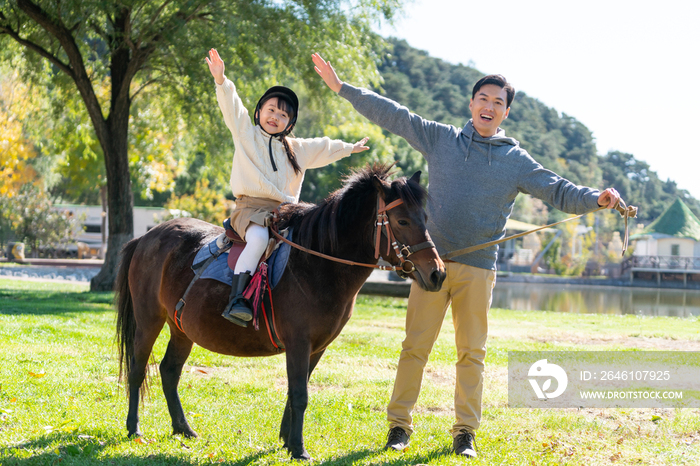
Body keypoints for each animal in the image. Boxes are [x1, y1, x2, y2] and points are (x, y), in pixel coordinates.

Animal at [114, 164, 442, 458]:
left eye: (425, 218)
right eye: (402, 221)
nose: (437, 273)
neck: (316, 263)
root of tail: (146, 238)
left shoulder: (317, 347)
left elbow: (297, 390)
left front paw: (286, 440)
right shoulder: (298, 343)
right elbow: (300, 394)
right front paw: (298, 448)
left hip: (181, 328)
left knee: (169, 371)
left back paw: (183, 428)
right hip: (148, 321)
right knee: (138, 369)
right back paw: (134, 428)